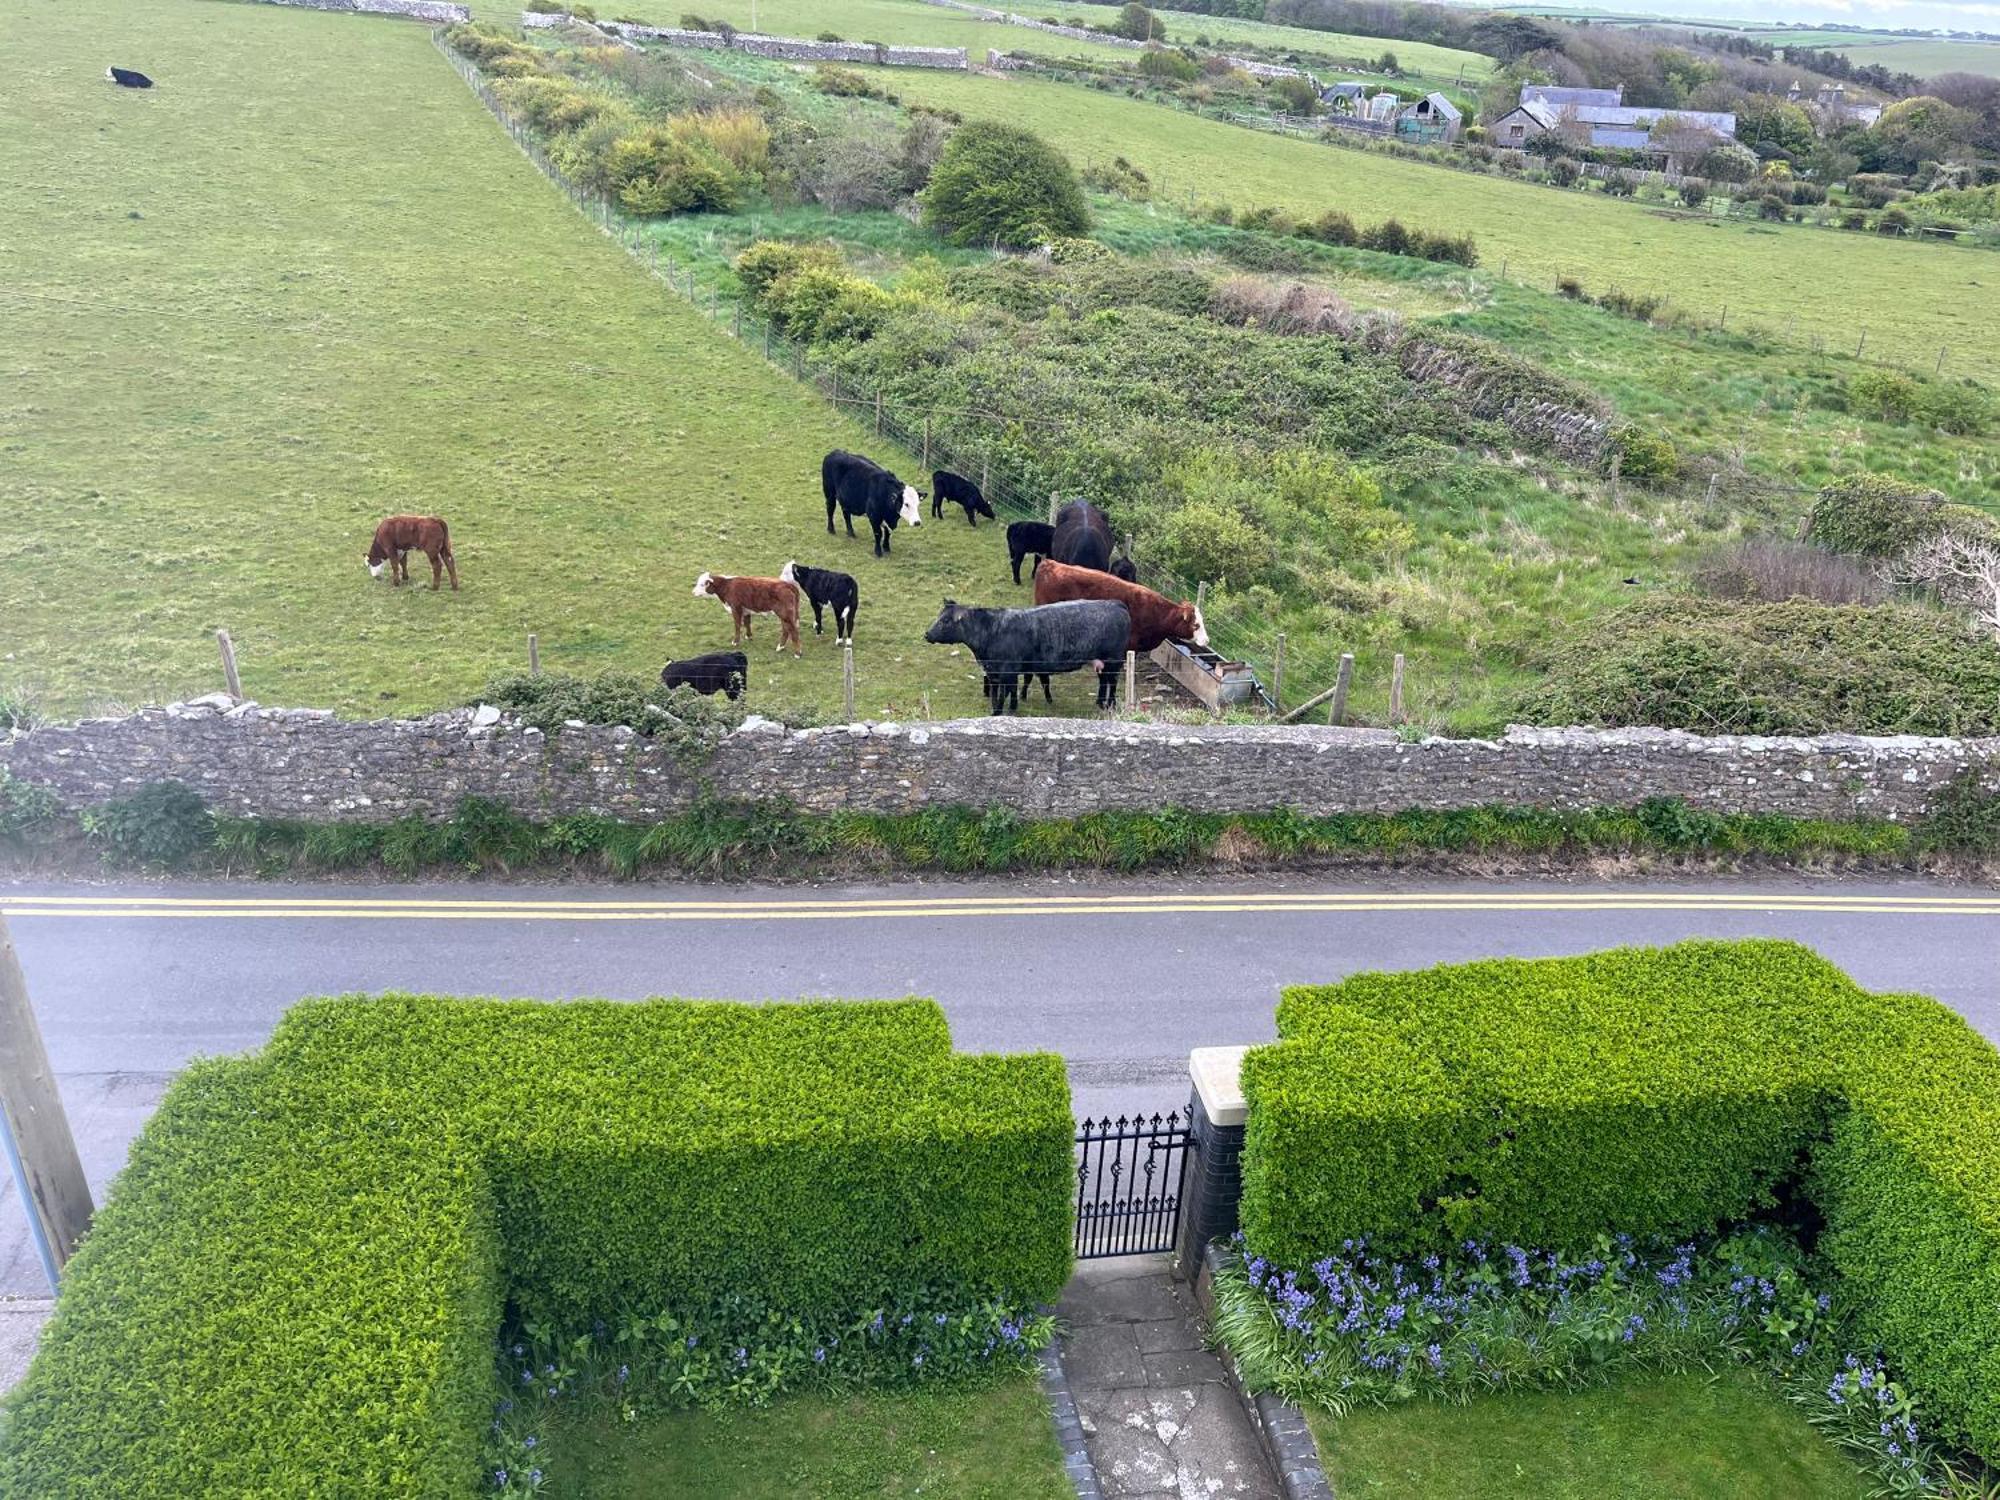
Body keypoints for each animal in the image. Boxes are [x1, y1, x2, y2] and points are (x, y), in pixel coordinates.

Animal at [920, 600, 1128, 716]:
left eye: (945, 620)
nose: (927, 634)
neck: (992, 631)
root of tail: (1115, 603)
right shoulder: (994, 673)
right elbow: (998, 693)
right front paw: (1004, 709)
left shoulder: (1006, 671)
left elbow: (1004, 693)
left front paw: (1000, 712)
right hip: (1101, 662)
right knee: (1103, 681)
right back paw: (1100, 702)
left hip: (1114, 660)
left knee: (1112, 682)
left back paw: (1110, 705)